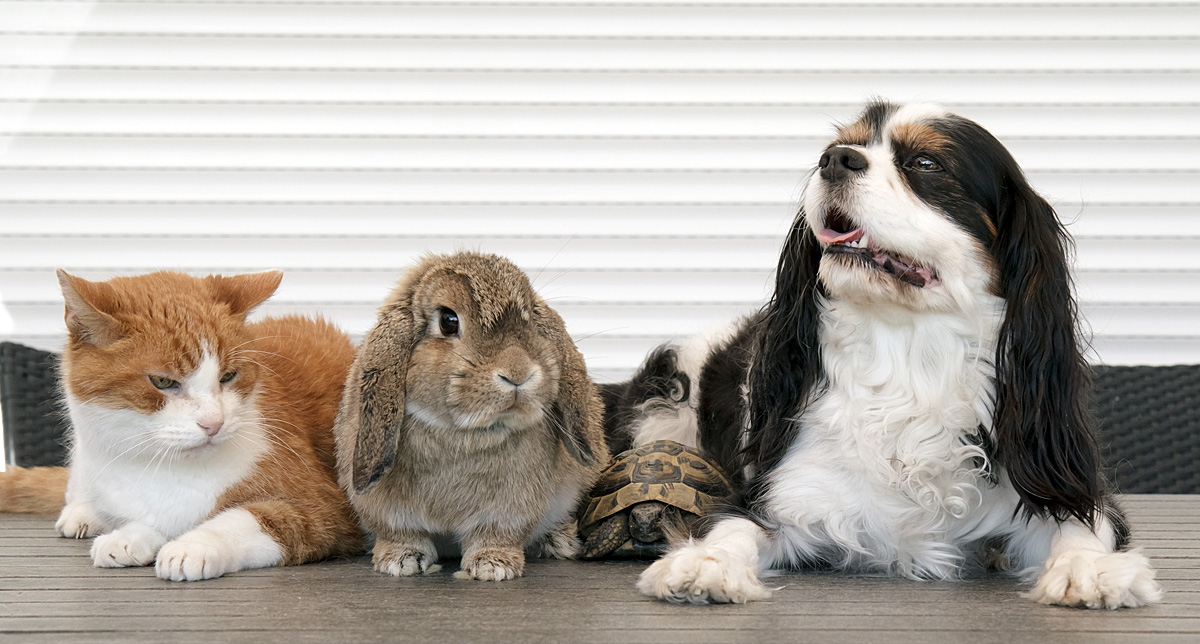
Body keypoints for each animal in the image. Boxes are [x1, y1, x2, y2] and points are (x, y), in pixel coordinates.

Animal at [0, 268, 362, 580]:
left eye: (228, 376)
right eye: (162, 381)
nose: (214, 423)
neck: (162, 464)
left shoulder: (324, 507)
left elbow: (245, 518)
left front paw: (192, 545)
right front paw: (128, 535)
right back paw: (83, 513)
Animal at [614, 100, 1156, 606]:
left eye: (926, 163)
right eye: (840, 146)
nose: (834, 160)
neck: (907, 352)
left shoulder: (1056, 489)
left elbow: (1080, 527)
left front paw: (1090, 570)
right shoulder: (773, 492)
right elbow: (735, 525)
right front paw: (705, 564)